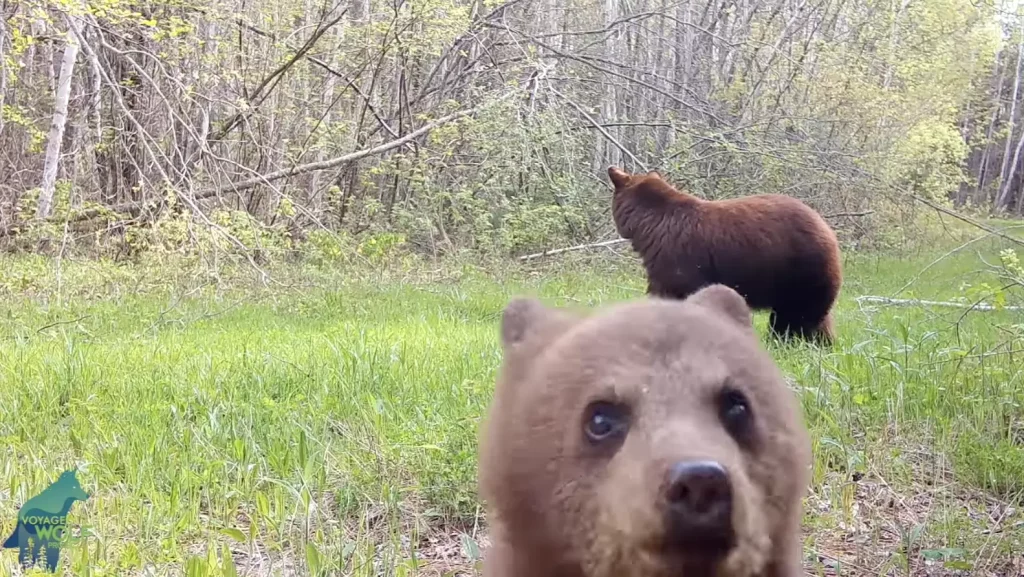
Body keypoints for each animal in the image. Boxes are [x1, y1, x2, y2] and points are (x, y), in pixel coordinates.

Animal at [606, 167, 839, 348]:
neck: (649, 226)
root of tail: (828, 230)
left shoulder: (675, 258)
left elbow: (674, 292)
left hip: (799, 272)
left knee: (794, 315)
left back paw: (783, 341)